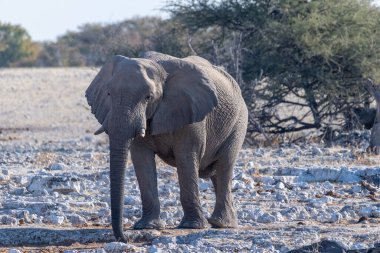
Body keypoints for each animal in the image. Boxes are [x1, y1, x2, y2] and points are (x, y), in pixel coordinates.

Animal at [84, 51, 248, 241]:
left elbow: (186, 158)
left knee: (224, 167)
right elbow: (141, 160)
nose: (125, 238)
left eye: (148, 97)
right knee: (216, 172)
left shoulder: (190, 114)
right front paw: (146, 226)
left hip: (239, 122)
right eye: (109, 93)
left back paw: (221, 224)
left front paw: (192, 226)